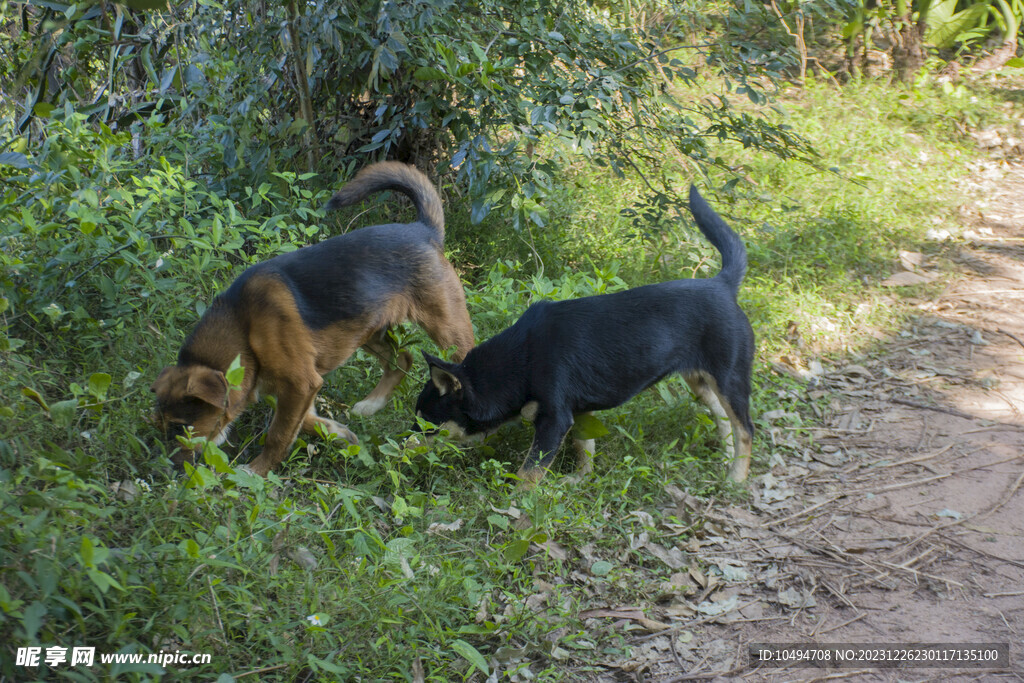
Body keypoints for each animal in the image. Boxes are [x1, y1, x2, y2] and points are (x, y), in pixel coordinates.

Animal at [151, 162, 475, 479]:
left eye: (180, 427)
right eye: (162, 426)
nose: (166, 475)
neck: (243, 326)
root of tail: (423, 230)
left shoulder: (300, 383)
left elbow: (278, 434)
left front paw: (257, 471)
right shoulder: (298, 388)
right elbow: (304, 422)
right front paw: (339, 434)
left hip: (446, 329)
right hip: (366, 331)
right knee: (403, 359)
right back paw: (371, 405)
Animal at [413, 185, 753, 485]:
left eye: (426, 424)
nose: (402, 447)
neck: (520, 359)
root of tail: (723, 284)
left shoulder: (554, 420)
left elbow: (529, 473)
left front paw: (517, 508)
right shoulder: (577, 412)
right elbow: (584, 447)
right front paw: (580, 479)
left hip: (731, 381)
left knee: (746, 430)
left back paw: (735, 479)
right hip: (699, 381)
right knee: (723, 420)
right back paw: (726, 461)